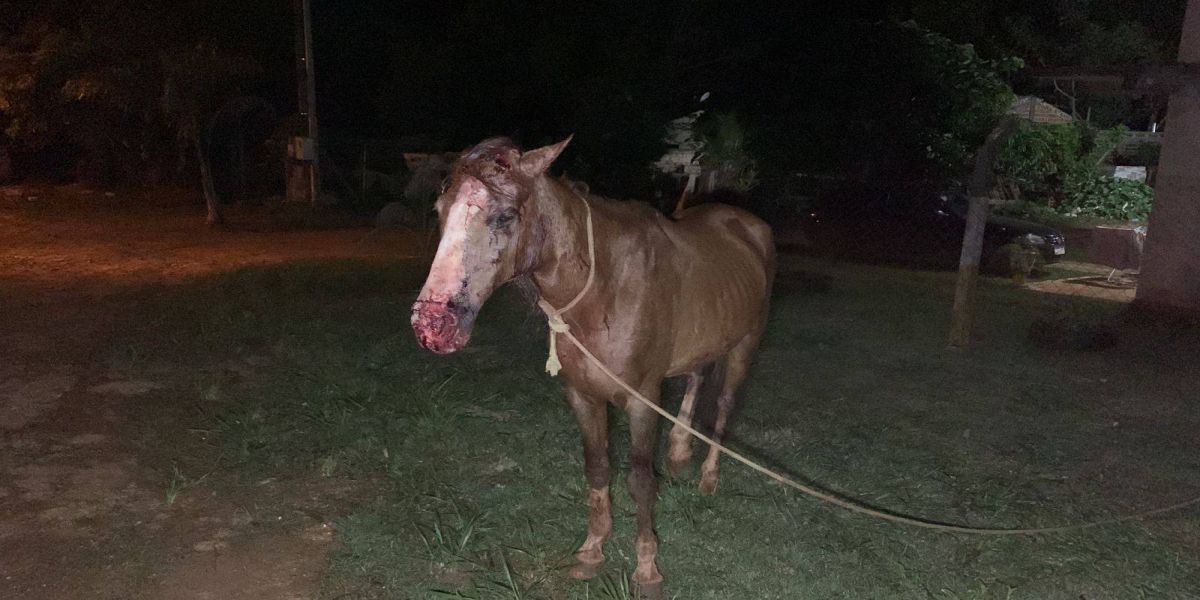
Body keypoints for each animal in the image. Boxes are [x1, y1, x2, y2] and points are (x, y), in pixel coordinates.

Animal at [411, 136, 775, 596]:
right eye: (440, 210)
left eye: (505, 215)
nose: (431, 327)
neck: (605, 286)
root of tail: (747, 223)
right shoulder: (581, 395)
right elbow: (598, 468)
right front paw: (591, 550)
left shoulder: (643, 400)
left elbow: (640, 480)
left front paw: (647, 568)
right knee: (696, 375)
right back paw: (679, 453)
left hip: (745, 344)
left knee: (725, 406)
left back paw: (708, 477)